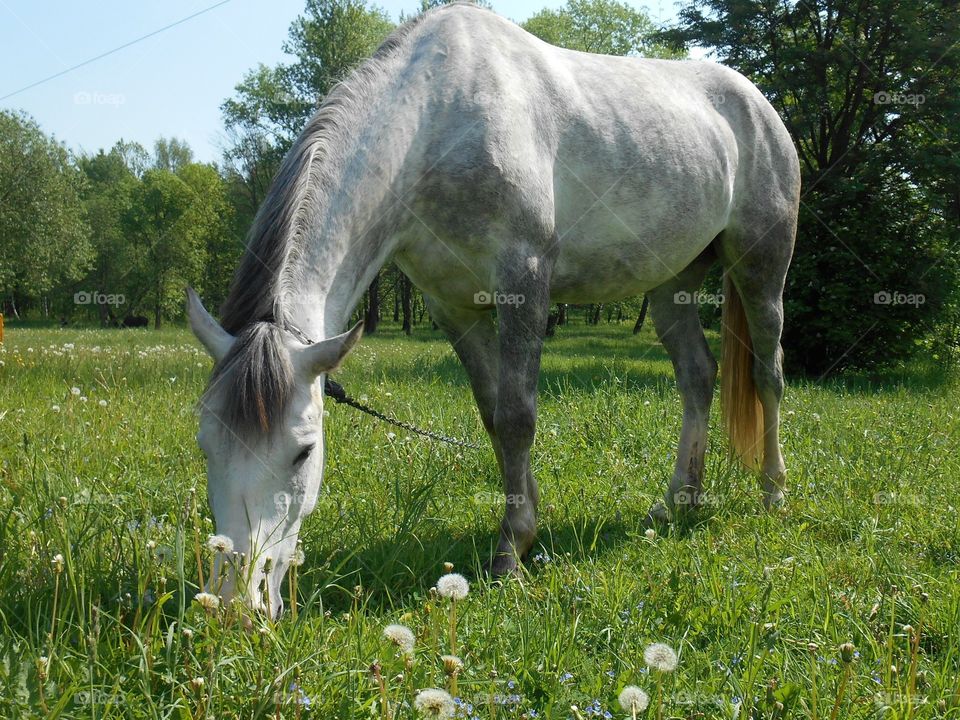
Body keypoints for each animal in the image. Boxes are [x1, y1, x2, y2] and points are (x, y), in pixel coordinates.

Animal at [186, 2, 796, 616]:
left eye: (303, 453)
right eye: (204, 443)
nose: (234, 605)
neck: (435, 120)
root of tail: (757, 103)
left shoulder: (523, 285)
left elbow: (518, 416)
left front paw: (509, 553)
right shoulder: (454, 308)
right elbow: (493, 415)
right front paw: (527, 528)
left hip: (762, 268)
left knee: (768, 372)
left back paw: (772, 492)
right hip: (674, 285)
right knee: (697, 376)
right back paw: (678, 501)